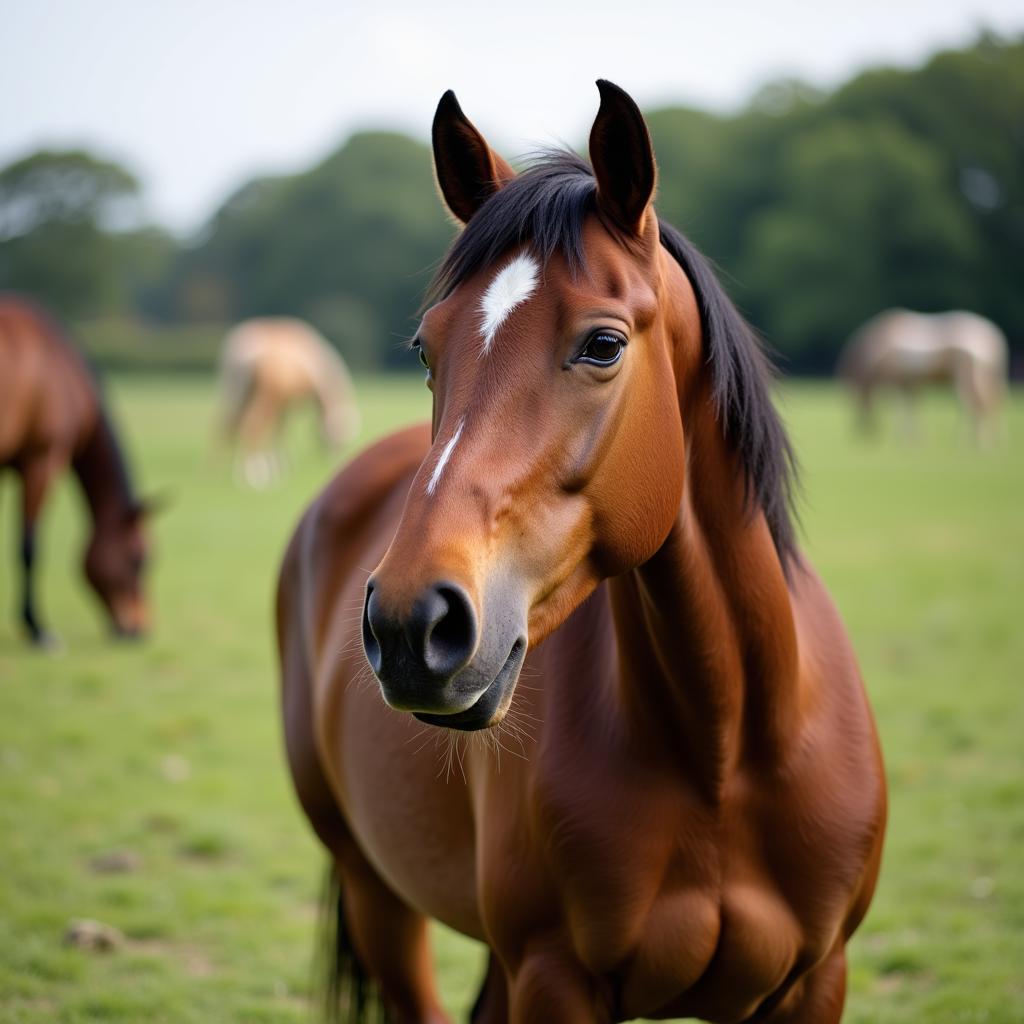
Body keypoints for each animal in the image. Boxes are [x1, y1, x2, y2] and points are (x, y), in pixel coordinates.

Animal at [216, 315, 360, 487]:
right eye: (338, 435)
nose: (333, 460)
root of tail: (245, 351)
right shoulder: (286, 401)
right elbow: (280, 432)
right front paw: (280, 468)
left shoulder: (284, 403)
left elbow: (279, 432)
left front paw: (282, 468)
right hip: (264, 395)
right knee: (252, 427)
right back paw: (256, 475)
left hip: (235, 391)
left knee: (225, 426)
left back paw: (220, 471)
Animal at [276, 81, 884, 1024]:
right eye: (426, 348)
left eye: (603, 344)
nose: (412, 624)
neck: (728, 749)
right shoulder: (554, 977)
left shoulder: (816, 981)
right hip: (378, 895)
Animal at [839, 307, 1007, 444]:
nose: (866, 434)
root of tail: (991, 332)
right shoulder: (910, 383)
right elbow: (911, 406)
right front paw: (914, 438)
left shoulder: (899, 381)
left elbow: (902, 407)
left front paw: (905, 438)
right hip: (988, 377)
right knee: (990, 403)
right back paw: (990, 441)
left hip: (967, 378)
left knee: (972, 404)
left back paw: (970, 441)